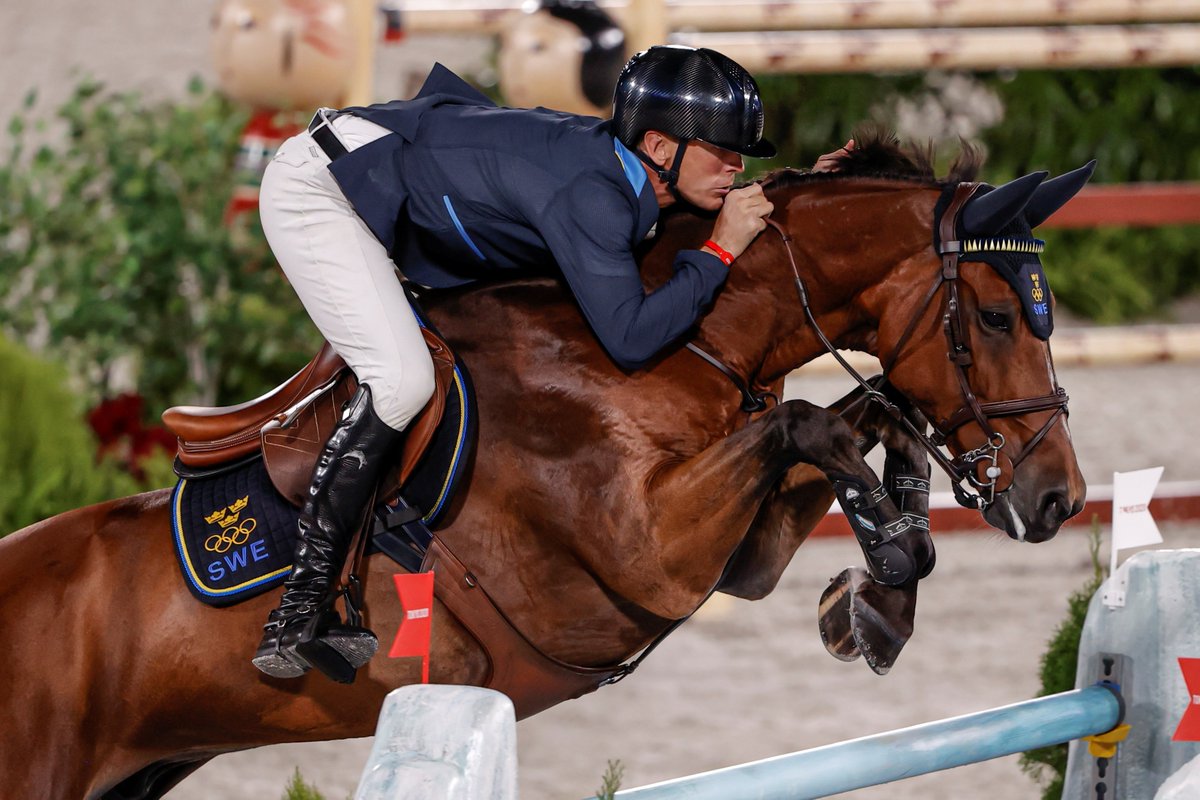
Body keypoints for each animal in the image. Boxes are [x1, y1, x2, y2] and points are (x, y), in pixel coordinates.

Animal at [0, 134, 1091, 799]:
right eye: (1000, 316)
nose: (1060, 498)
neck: (667, 340)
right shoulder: (642, 556)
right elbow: (812, 425)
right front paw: (885, 580)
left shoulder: (732, 554)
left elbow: (865, 414)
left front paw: (878, 596)